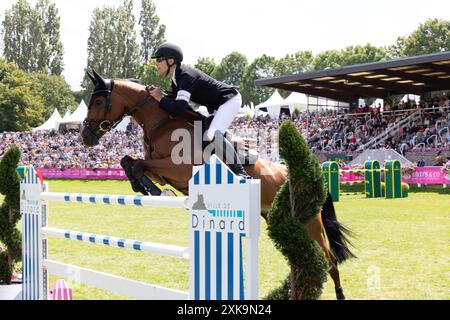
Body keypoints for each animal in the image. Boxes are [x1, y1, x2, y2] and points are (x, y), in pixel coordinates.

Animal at [81, 70, 356, 300]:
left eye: (98, 102)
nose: (85, 136)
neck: (161, 124)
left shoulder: (178, 168)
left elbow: (139, 164)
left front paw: (152, 189)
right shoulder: (161, 168)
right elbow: (129, 161)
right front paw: (146, 187)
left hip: (310, 223)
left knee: (329, 260)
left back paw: (341, 295)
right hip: (279, 219)